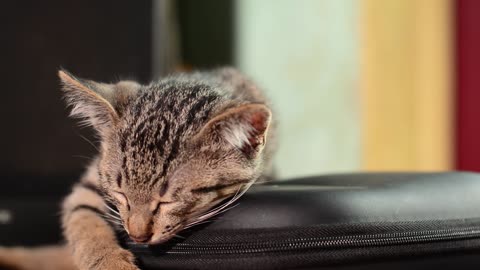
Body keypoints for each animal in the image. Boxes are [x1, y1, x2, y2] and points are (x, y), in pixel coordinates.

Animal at [0, 67, 274, 270]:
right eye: (121, 194)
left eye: (167, 201)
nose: (138, 236)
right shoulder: (90, 185)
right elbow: (83, 220)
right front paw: (110, 262)